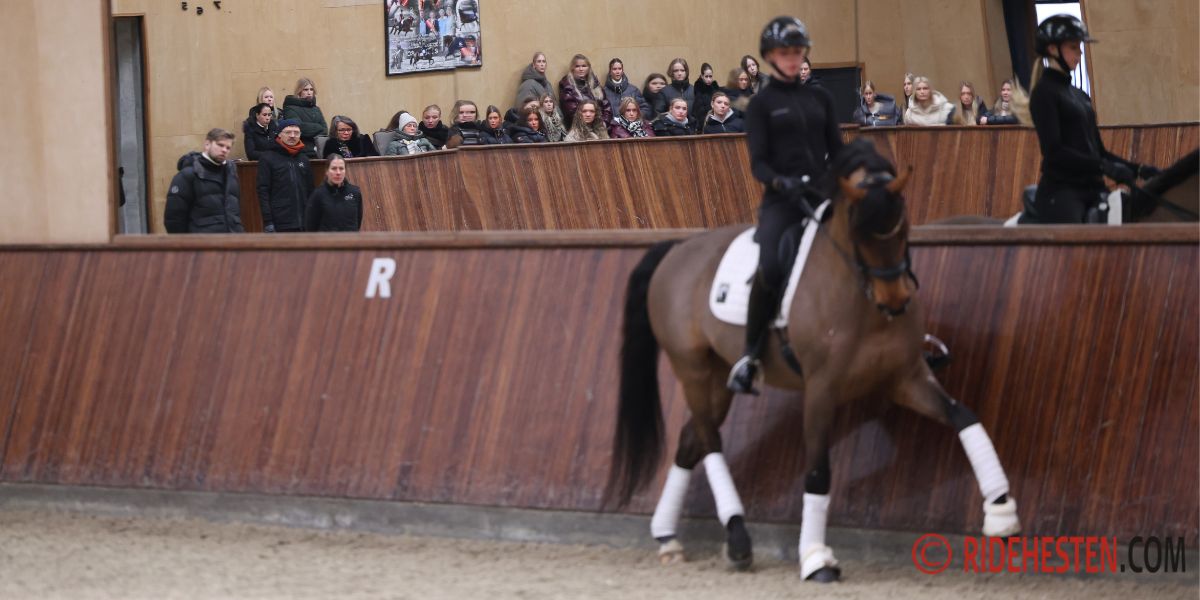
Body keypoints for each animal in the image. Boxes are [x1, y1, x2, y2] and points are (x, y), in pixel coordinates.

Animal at [603, 140, 1021, 581]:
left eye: (904, 226)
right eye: (858, 233)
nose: (895, 301)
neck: (860, 298)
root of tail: (677, 249)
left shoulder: (905, 377)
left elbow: (964, 416)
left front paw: (1001, 514)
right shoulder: (822, 389)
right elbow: (819, 472)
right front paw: (816, 558)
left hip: (718, 377)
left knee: (690, 441)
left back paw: (669, 538)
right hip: (693, 370)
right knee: (710, 441)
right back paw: (737, 538)